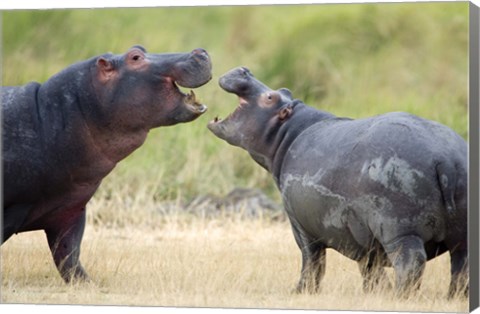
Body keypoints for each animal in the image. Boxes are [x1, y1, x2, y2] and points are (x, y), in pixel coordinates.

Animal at [208, 66, 466, 296]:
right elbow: (369, 267)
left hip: (400, 231)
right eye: (284, 90)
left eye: (270, 97)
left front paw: (300, 292)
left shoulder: (299, 224)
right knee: (461, 265)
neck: (288, 131)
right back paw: (454, 297)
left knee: (411, 262)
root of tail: (446, 159)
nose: (245, 70)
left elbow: (312, 261)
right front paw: (373, 293)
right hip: (459, 233)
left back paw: (401, 297)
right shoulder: (361, 233)